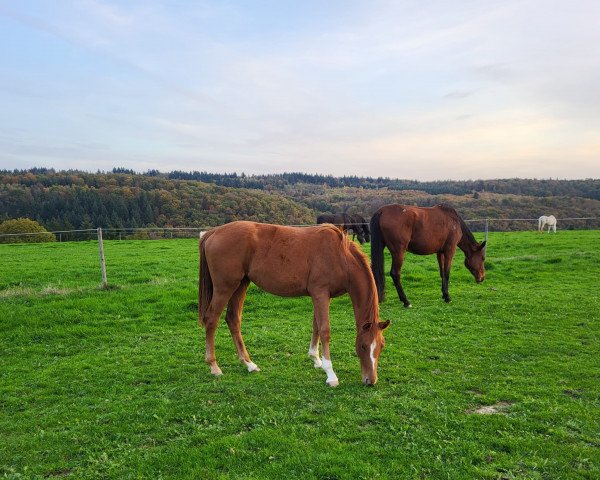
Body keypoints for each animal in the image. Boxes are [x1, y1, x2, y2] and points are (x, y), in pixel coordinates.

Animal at [199, 221, 392, 386]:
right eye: (363, 346)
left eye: (381, 346)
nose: (370, 381)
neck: (340, 255)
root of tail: (213, 232)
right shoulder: (320, 293)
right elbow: (325, 330)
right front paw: (331, 374)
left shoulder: (321, 296)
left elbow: (316, 326)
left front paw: (316, 359)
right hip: (225, 288)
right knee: (211, 320)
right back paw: (214, 366)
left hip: (241, 285)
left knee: (233, 319)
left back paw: (249, 364)